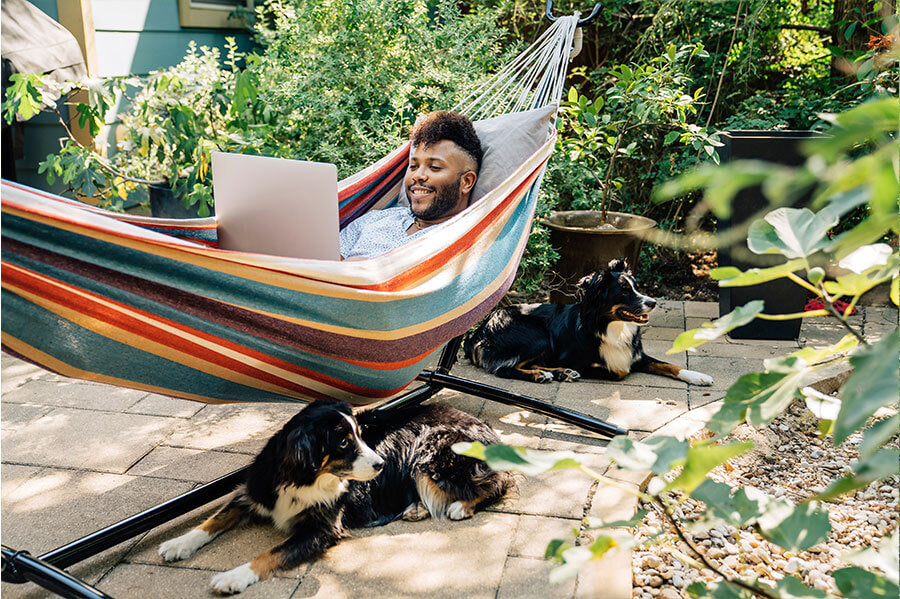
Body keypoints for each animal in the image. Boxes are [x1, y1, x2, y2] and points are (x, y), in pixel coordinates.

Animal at [159, 400, 516, 592]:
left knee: (500, 479)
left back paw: (460, 507)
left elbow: (271, 553)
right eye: (344, 442)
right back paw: (416, 509)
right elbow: (213, 520)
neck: (304, 477)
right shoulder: (255, 492)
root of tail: (484, 425)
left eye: (361, 434)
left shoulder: (322, 527)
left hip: (432, 454)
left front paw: (234, 576)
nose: (380, 463)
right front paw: (178, 544)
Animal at [464, 260, 712, 386]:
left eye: (636, 286)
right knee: (505, 369)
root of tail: (480, 330)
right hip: (537, 335)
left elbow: (669, 365)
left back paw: (560, 373)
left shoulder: (637, 355)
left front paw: (698, 376)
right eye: (624, 291)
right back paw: (543, 375)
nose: (652, 302)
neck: (611, 326)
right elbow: (619, 370)